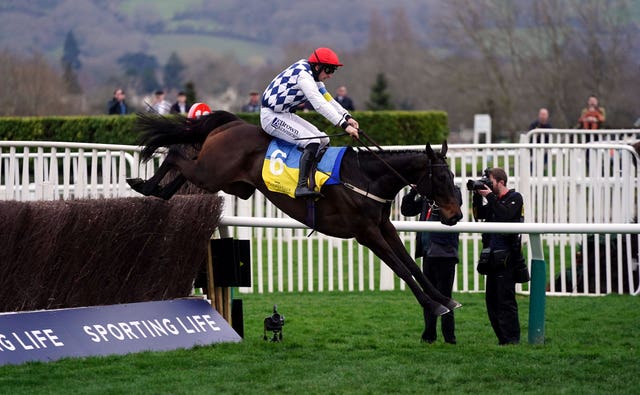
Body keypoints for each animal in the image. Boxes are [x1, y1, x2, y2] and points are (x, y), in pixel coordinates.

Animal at [127, 112, 462, 328]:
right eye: (441, 178)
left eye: (453, 177)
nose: (456, 215)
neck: (365, 176)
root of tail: (233, 123)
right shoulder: (365, 232)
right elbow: (401, 269)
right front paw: (433, 306)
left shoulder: (383, 226)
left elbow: (412, 265)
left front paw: (445, 300)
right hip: (212, 172)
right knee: (175, 154)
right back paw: (143, 184)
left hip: (229, 182)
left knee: (183, 166)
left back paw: (157, 190)